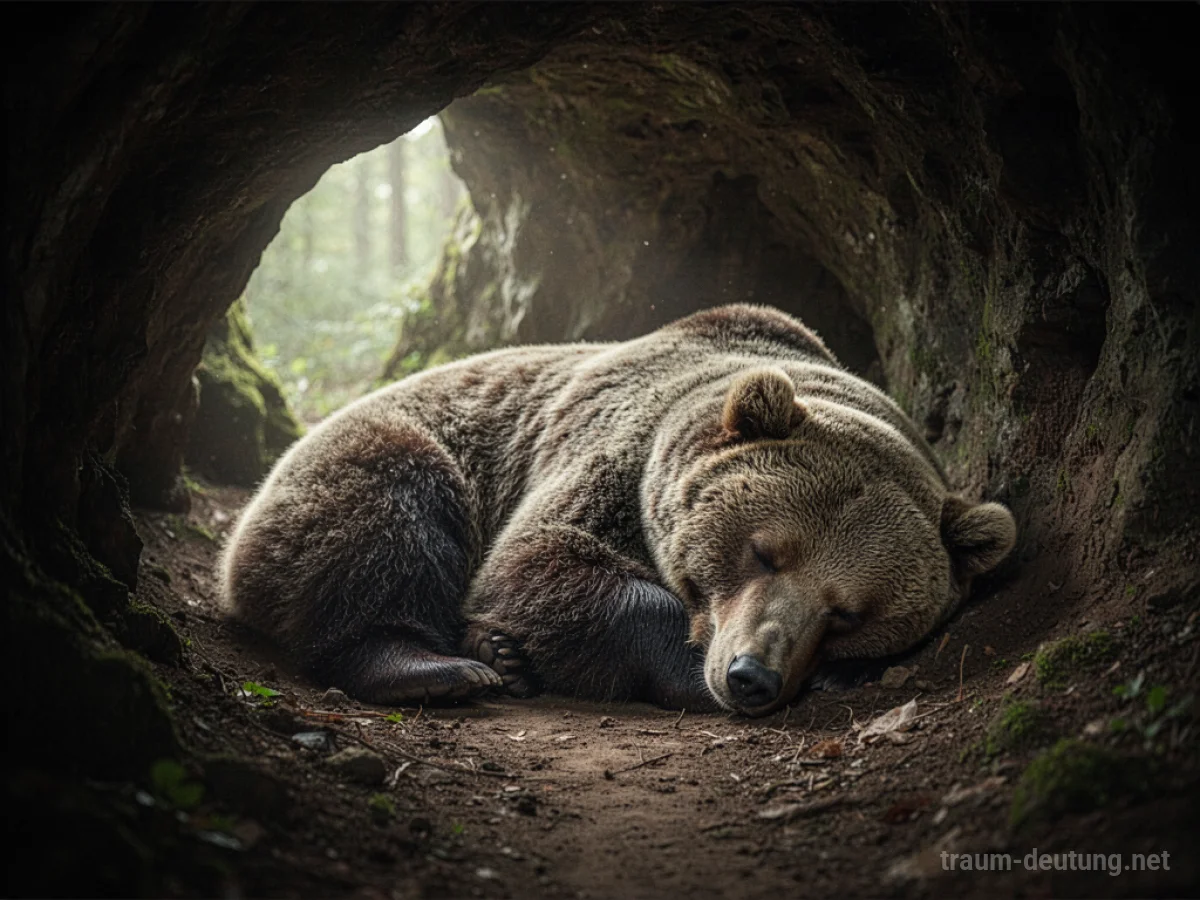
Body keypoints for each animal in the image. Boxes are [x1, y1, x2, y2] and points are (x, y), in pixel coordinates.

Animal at [219, 304, 1016, 716]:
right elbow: (539, 562)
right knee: (382, 523)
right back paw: (440, 667)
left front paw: (831, 674)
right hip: (390, 454)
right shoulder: (612, 460)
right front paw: (684, 671)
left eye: (849, 613)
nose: (750, 675)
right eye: (765, 551)